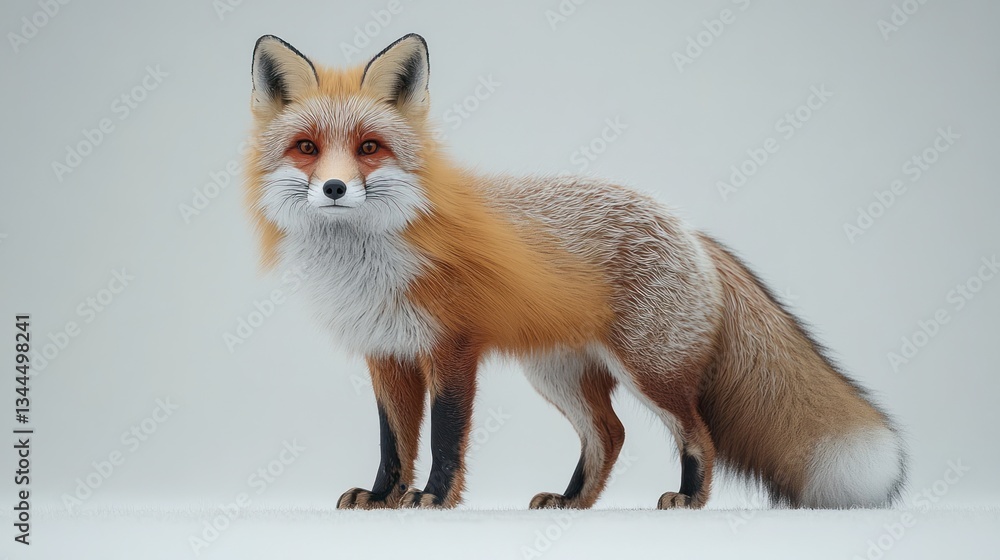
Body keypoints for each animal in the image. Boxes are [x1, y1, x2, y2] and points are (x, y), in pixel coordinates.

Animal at [243, 33, 907, 510]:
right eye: (307, 148)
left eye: (369, 148)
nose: (333, 188)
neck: (367, 262)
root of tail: (691, 231)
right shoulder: (386, 354)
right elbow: (393, 444)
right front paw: (383, 497)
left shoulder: (452, 349)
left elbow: (444, 438)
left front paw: (431, 498)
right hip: (558, 375)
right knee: (609, 435)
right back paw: (572, 501)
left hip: (651, 372)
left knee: (698, 433)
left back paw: (690, 499)